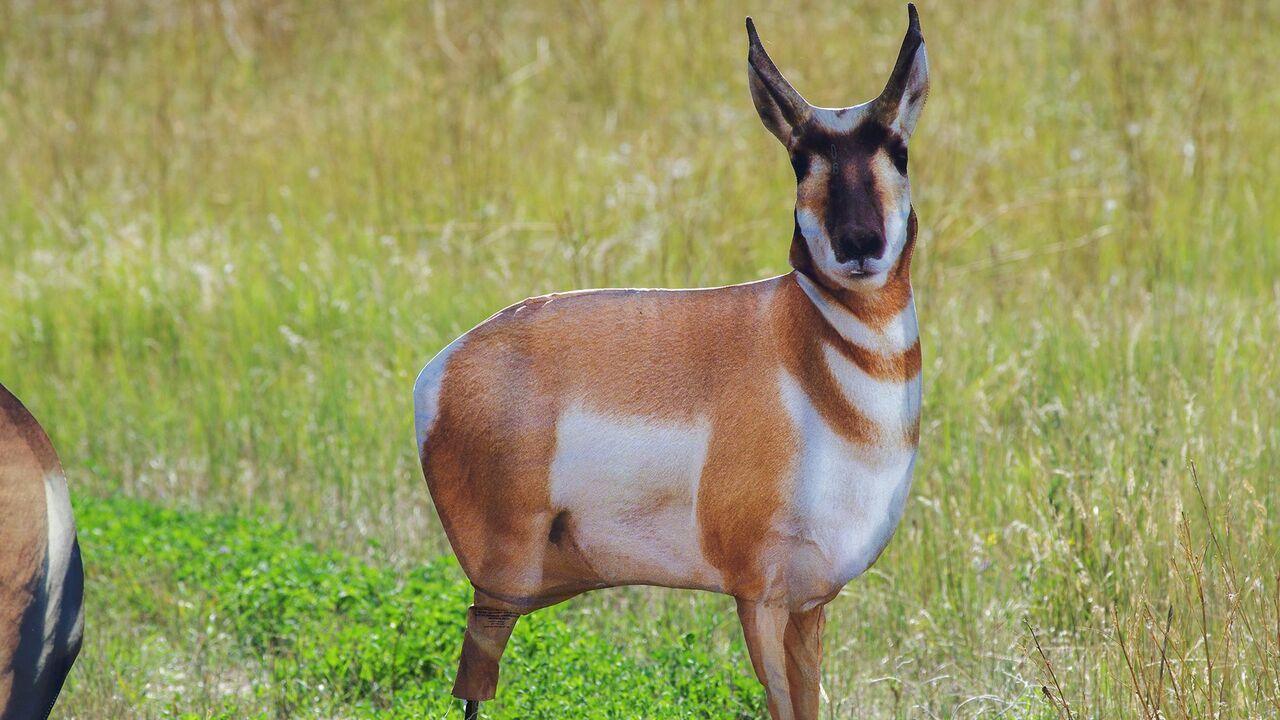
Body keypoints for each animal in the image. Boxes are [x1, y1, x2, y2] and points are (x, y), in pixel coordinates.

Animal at [414, 6, 929, 718]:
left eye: (898, 150)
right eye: (800, 160)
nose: (860, 244)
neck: (808, 357)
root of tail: (443, 365)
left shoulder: (810, 603)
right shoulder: (758, 598)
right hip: (503, 587)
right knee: (473, 684)